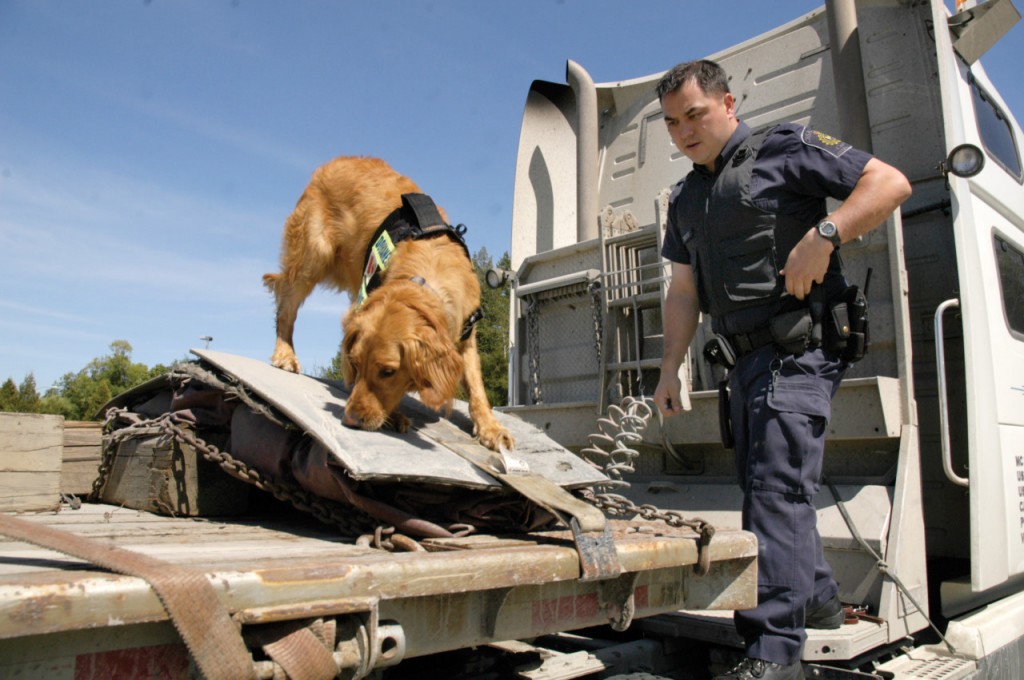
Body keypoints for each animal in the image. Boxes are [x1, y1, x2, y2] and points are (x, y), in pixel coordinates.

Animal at [264, 154, 516, 450]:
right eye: (356, 364)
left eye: (387, 371)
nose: (350, 420)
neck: (424, 277)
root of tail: (333, 163)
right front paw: (394, 415)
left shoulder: (467, 333)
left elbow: (477, 386)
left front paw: (490, 428)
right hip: (313, 254)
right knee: (286, 307)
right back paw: (285, 355)